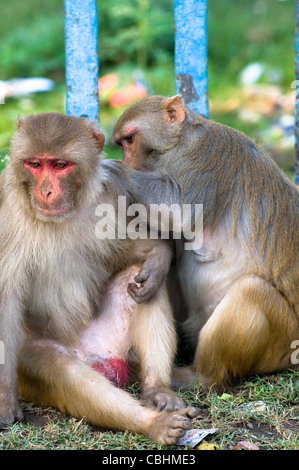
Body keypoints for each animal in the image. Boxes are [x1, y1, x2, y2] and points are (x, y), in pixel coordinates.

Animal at [0, 114, 202, 444]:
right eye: (34, 164)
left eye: (60, 165)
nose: (46, 192)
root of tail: (96, 357)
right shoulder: (6, 216)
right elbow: (5, 302)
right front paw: (5, 400)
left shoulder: (113, 192)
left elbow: (126, 251)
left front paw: (158, 255)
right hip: (33, 357)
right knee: (70, 376)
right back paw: (153, 424)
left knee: (141, 282)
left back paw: (158, 390)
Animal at [112, 94, 299, 390]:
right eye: (121, 143)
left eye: (129, 140)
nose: (126, 160)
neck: (177, 145)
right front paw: (155, 267)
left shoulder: (207, 155)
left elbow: (181, 211)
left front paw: (109, 170)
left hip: (280, 344)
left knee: (251, 291)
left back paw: (199, 376)